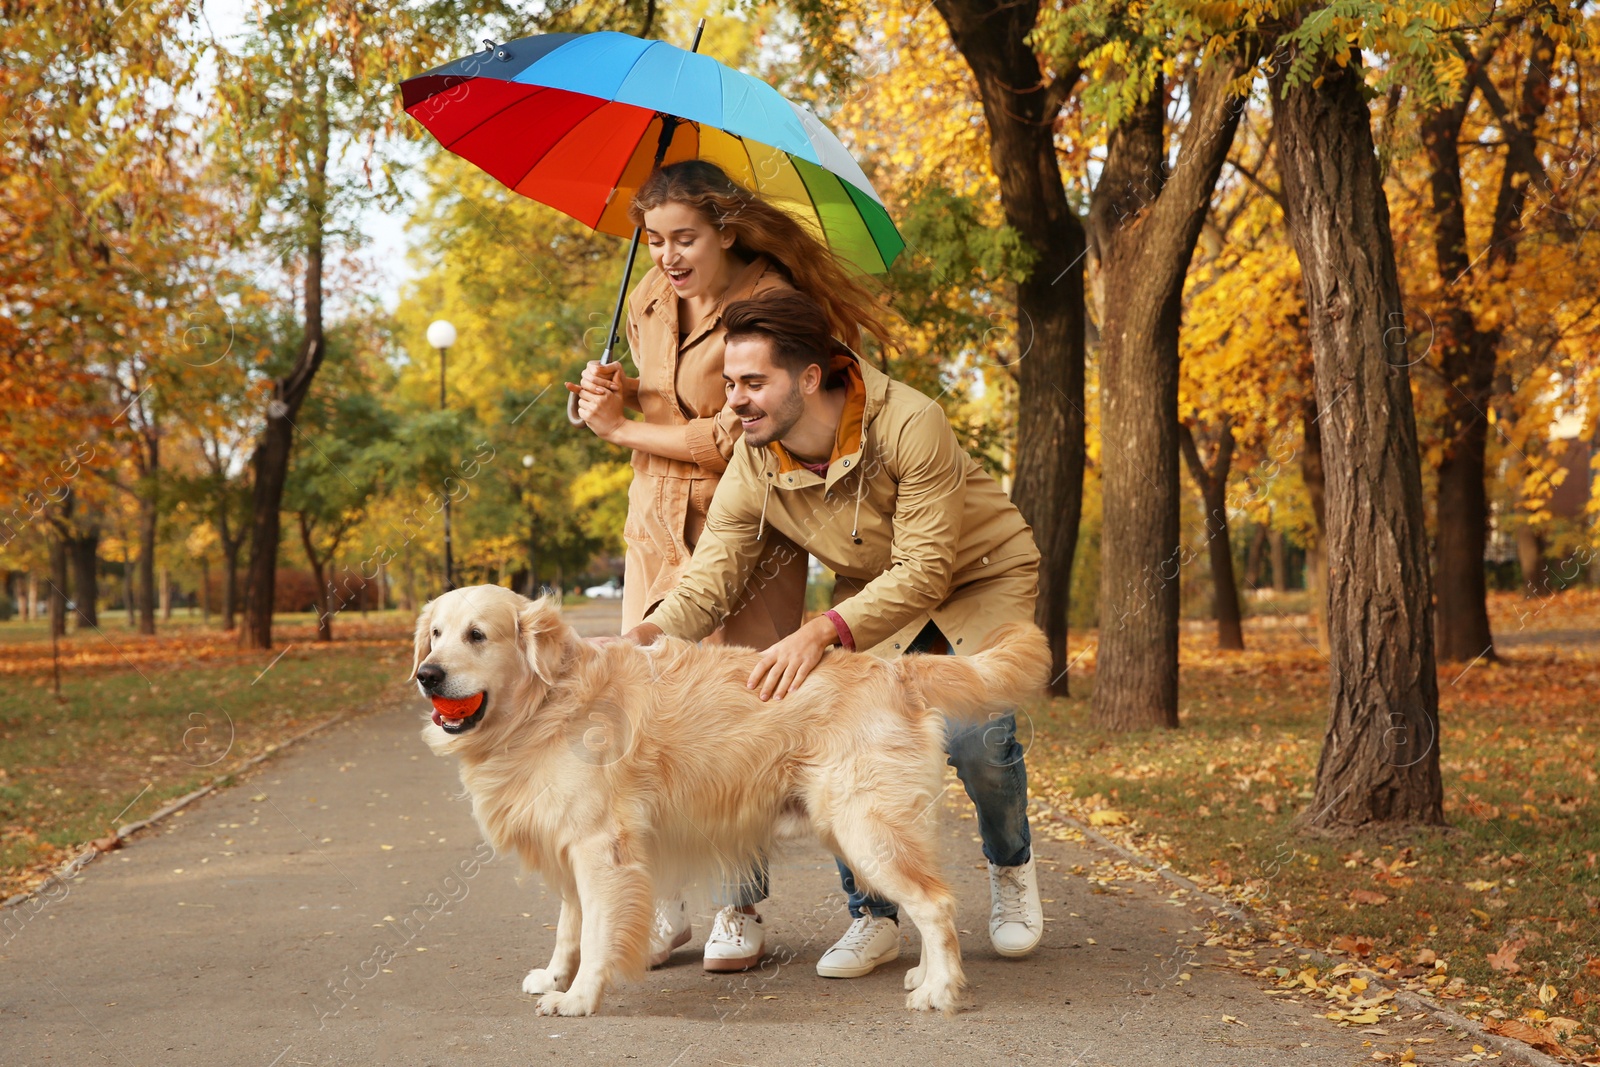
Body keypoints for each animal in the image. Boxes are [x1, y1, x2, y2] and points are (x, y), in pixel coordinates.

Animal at [412, 585, 1049, 1017]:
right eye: (436, 634)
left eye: (477, 635)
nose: (426, 674)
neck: (546, 703)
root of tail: (895, 671)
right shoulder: (570, 846)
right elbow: (570, 927)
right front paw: (553, 977)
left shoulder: (600, 849)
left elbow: (595, 933)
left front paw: (579, 998)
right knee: (923, 904)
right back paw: (923, 976)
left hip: (868, 830)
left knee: (936, 905)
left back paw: (940, 990)